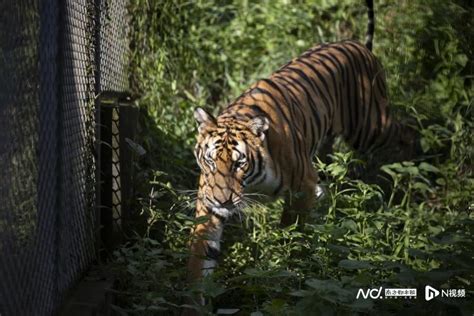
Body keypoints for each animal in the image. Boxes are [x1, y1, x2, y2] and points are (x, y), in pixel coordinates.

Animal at [187, 0, 416, 284]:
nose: (223, 201)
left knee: (407, 133)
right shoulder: (207, 202)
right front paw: (193, 293)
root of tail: (359, 45)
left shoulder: (301, 186)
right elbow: (201, 253)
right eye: (210, 161)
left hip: (371, 126)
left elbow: (291, 232)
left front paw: (286, 267)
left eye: (239, 164)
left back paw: (408, 180)